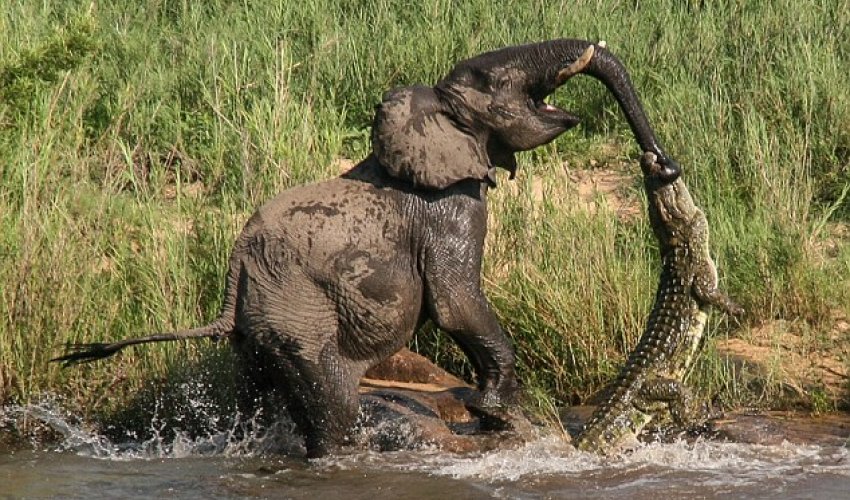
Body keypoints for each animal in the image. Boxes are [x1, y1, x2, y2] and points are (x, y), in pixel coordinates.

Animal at [54, 38, 679, 458]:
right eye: (489, 79)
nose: (662, 165)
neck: (431, 115)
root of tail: (236, 271)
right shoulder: (450, 208)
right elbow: (455, 303)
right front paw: (496, 414)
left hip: (260, 327)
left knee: (255, 394)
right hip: (297, 313)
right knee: (333, 403)